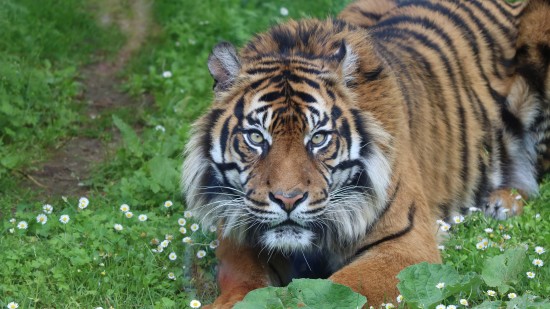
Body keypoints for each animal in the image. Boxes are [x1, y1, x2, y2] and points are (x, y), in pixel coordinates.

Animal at [182, 0, 550, 304]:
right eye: (257, 138)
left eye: (318, 138)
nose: (288, 200)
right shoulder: (238, 232)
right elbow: (244, 283)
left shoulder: (405, 245)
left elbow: (333, 291)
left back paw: (503, 202)